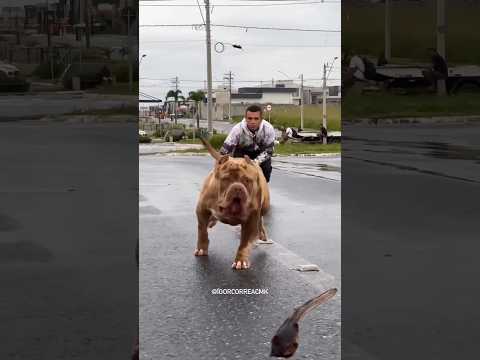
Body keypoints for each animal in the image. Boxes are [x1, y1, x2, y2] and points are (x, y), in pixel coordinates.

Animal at [195, 136, 270, 268]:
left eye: (247, 180)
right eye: (226, 179)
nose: (238, 187)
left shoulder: (251, 219)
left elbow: (245, 242)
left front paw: (241, 260)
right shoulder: (201, 210)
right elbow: (202, 230)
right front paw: (201, 248)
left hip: (265, 207)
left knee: (261, 219)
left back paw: (262, 234)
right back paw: (212, 221)